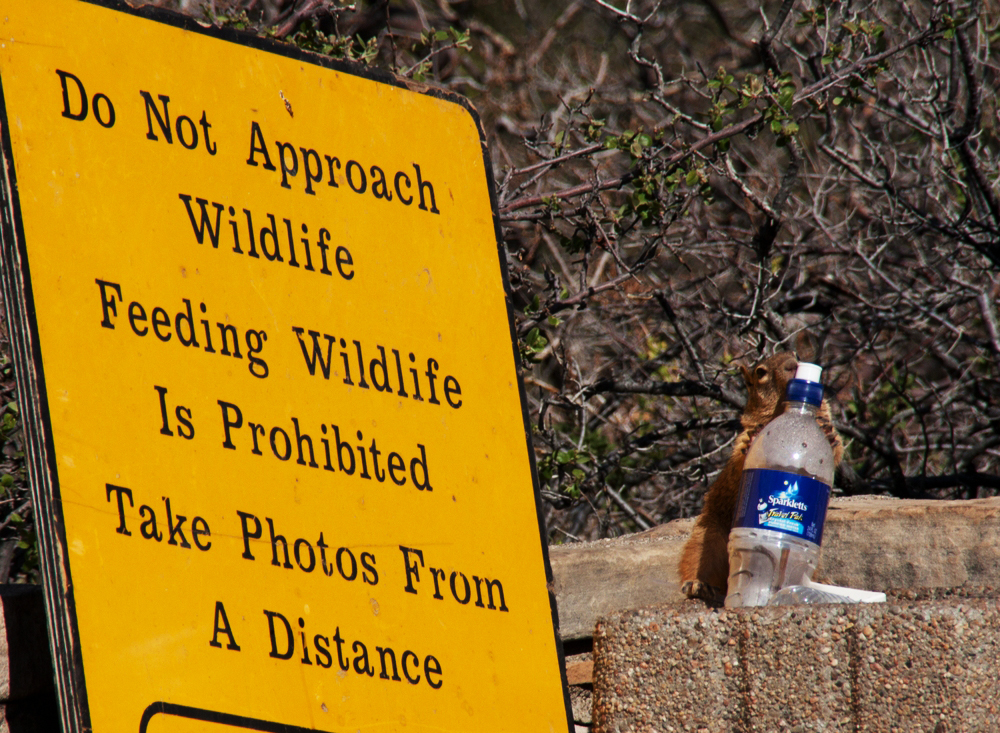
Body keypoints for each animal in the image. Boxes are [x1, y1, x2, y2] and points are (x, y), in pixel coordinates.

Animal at [672, 354, 844, 600]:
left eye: (795, 356)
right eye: (760, 372)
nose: (792, 365)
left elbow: (835, 451)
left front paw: (829, 437)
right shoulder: (742, 442)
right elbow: (740, 460)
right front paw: (752, 443)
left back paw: (819, 582)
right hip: (707, 538)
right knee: (699, 561)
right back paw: (699, 584)